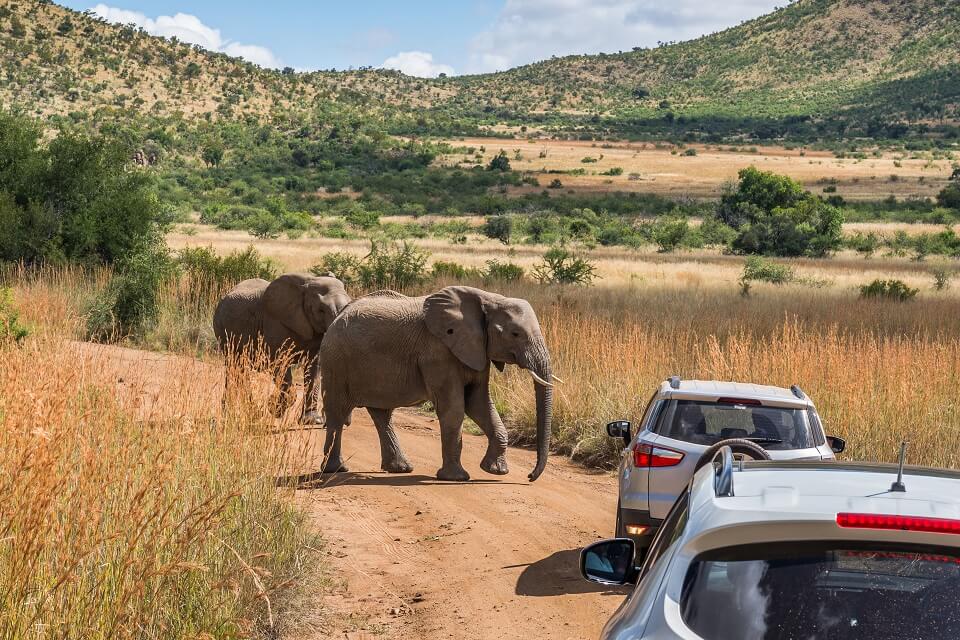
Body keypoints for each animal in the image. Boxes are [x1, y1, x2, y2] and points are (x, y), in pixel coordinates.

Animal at [214, 272, 352, 422]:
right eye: (321, 310)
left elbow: (315, 367)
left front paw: (312, 420)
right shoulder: (274, 322)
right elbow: (280, 362)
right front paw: (273, 408)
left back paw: (251, 412)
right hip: (224, 333)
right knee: (235, 368)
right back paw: (237, 414)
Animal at [318, 284, 556, 480]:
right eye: (515, 333)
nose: (530, 476)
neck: (488, 298)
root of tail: (338, 316)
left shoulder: (477, 350)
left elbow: (479, 404)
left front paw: (496, 471)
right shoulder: (437, 353)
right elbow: (454, 408)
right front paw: (456, 478)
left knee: (382, 414)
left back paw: (400, 468)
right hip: (336, 362)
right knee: (338, 412)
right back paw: (335, 470)